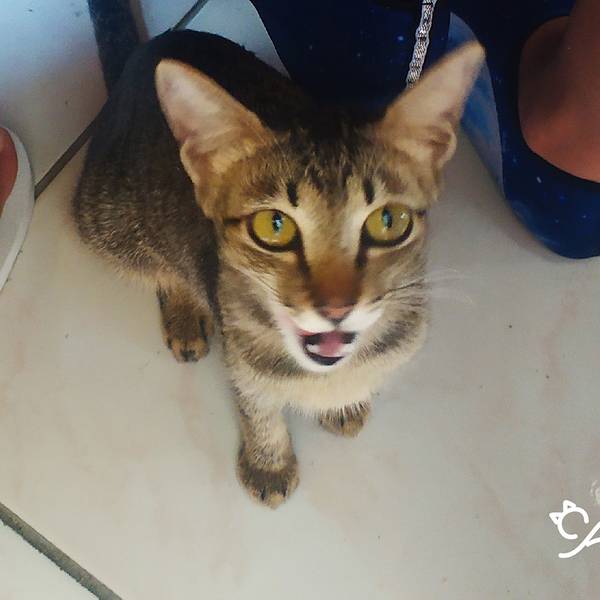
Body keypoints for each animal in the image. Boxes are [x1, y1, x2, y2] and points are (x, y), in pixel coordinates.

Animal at [73, 29, 483, 508]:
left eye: (388, 221)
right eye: (274, 226)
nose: (337, 308)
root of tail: (155, 45)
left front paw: (345, 404)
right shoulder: (242, 361)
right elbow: (258, 408)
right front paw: (269, 463)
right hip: (107, 224)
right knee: (161, 267)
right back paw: (184, 311)